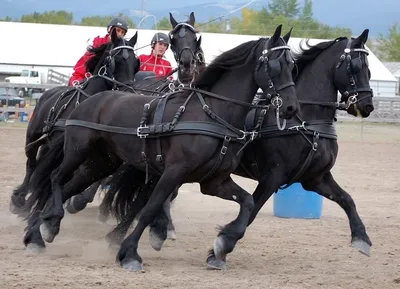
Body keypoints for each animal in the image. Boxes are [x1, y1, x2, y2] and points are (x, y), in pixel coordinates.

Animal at [9, 29, 139, 215]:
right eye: (117, 60)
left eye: (136, 63)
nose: (128, 92)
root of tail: (48, 93)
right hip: (33, 135)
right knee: (32, 163)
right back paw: (19, 197)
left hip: (49, 144)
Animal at [25, 24, 298, 270]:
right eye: (276, 65)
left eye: (293, 66)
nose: (291, 107)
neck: (212, 113)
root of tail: (90, 99)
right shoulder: (173, 172)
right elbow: (149, 209)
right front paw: (129, 254)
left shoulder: (214, 181)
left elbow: (248, 203)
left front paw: (222, 245)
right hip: (77, 150)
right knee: (55, 178)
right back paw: (45, 226)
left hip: (102, 162)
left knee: (68, 187)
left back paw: (39, 231)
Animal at [100, 28, 376, 264]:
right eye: (355, 66)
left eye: (369, 68)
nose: (367, 105)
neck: (306, 119)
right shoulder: (272, 176)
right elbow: (251, 211)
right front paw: (220, 247)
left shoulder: (315, 178)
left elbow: (348, 200)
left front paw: (361, 238)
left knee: (146, 196)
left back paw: (129, 234)